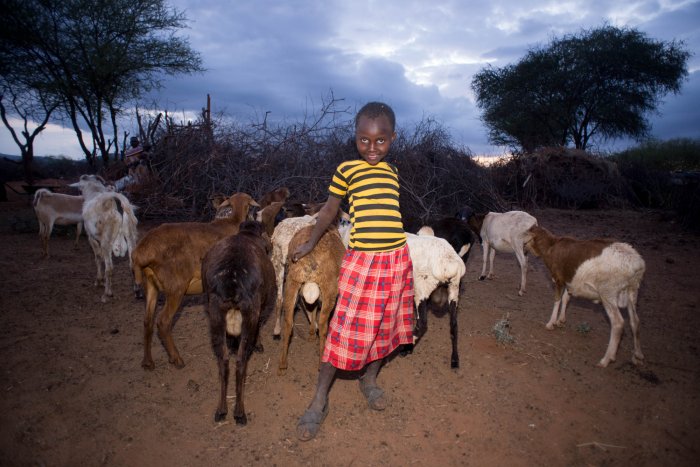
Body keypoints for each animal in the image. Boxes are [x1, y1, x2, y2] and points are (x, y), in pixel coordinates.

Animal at [69, 176, 138, 304]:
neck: (94, 191)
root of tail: (116, 200)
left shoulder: (91, 237)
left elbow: (98, 257)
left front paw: (99, 281)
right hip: (130, 233)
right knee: (133, 263)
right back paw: (137, 291)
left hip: (106, 239)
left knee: (109, 267)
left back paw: (107, 293)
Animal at [131, 192, 258, 372]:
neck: (234, 221)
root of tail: (141, 252)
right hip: (175, 287)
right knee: (163, 322)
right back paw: (177, 359)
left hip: (150, 285)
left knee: (147, 321)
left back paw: (148, 362)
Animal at [200, 221, 276, 426]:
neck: (247, 234)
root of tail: (232, 284)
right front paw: (259, 345)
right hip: (250, 313)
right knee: (240, 362)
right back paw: (240, 412)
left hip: (215, 315)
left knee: (224, 361)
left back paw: (221, 410)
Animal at [278, 225, 346, 374]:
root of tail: (309, 260)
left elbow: (311, 309)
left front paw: (310, 334)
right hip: (329, 290)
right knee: (323, 324)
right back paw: (321, 362)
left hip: (291, 283)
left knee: (288, 323)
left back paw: (282, 365)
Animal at [524, 225, 644, 368]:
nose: (524, 250)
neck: (551, 246)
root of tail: (637, 265)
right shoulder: (569, 282)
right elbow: (566, 298)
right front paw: (561, 321)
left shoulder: (559, 280)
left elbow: (557, 300)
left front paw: (550, 323)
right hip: (632, 292)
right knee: (635, 321)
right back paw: (637, 356)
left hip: (608, 292)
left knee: (618, 323)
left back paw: (606, 360)